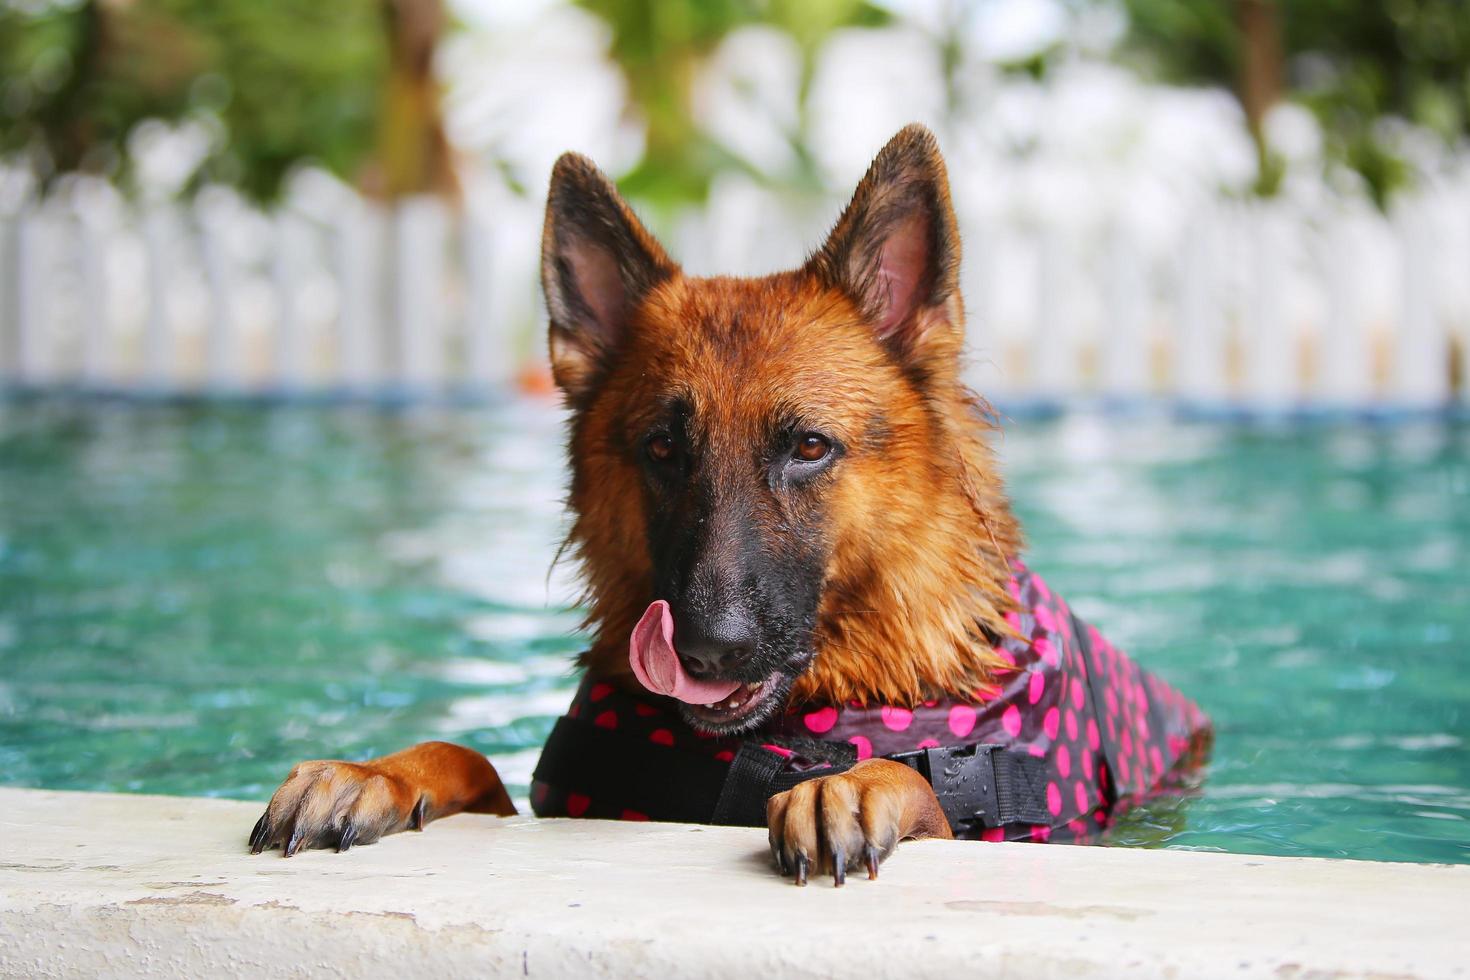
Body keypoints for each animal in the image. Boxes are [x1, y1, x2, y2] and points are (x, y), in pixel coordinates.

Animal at [246, 126, 1105, 887]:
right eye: (663, 448)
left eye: (809, 447)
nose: (707, 650)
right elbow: (471, 757)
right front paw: (373, 771)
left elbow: (926, 786)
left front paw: (863, 783)